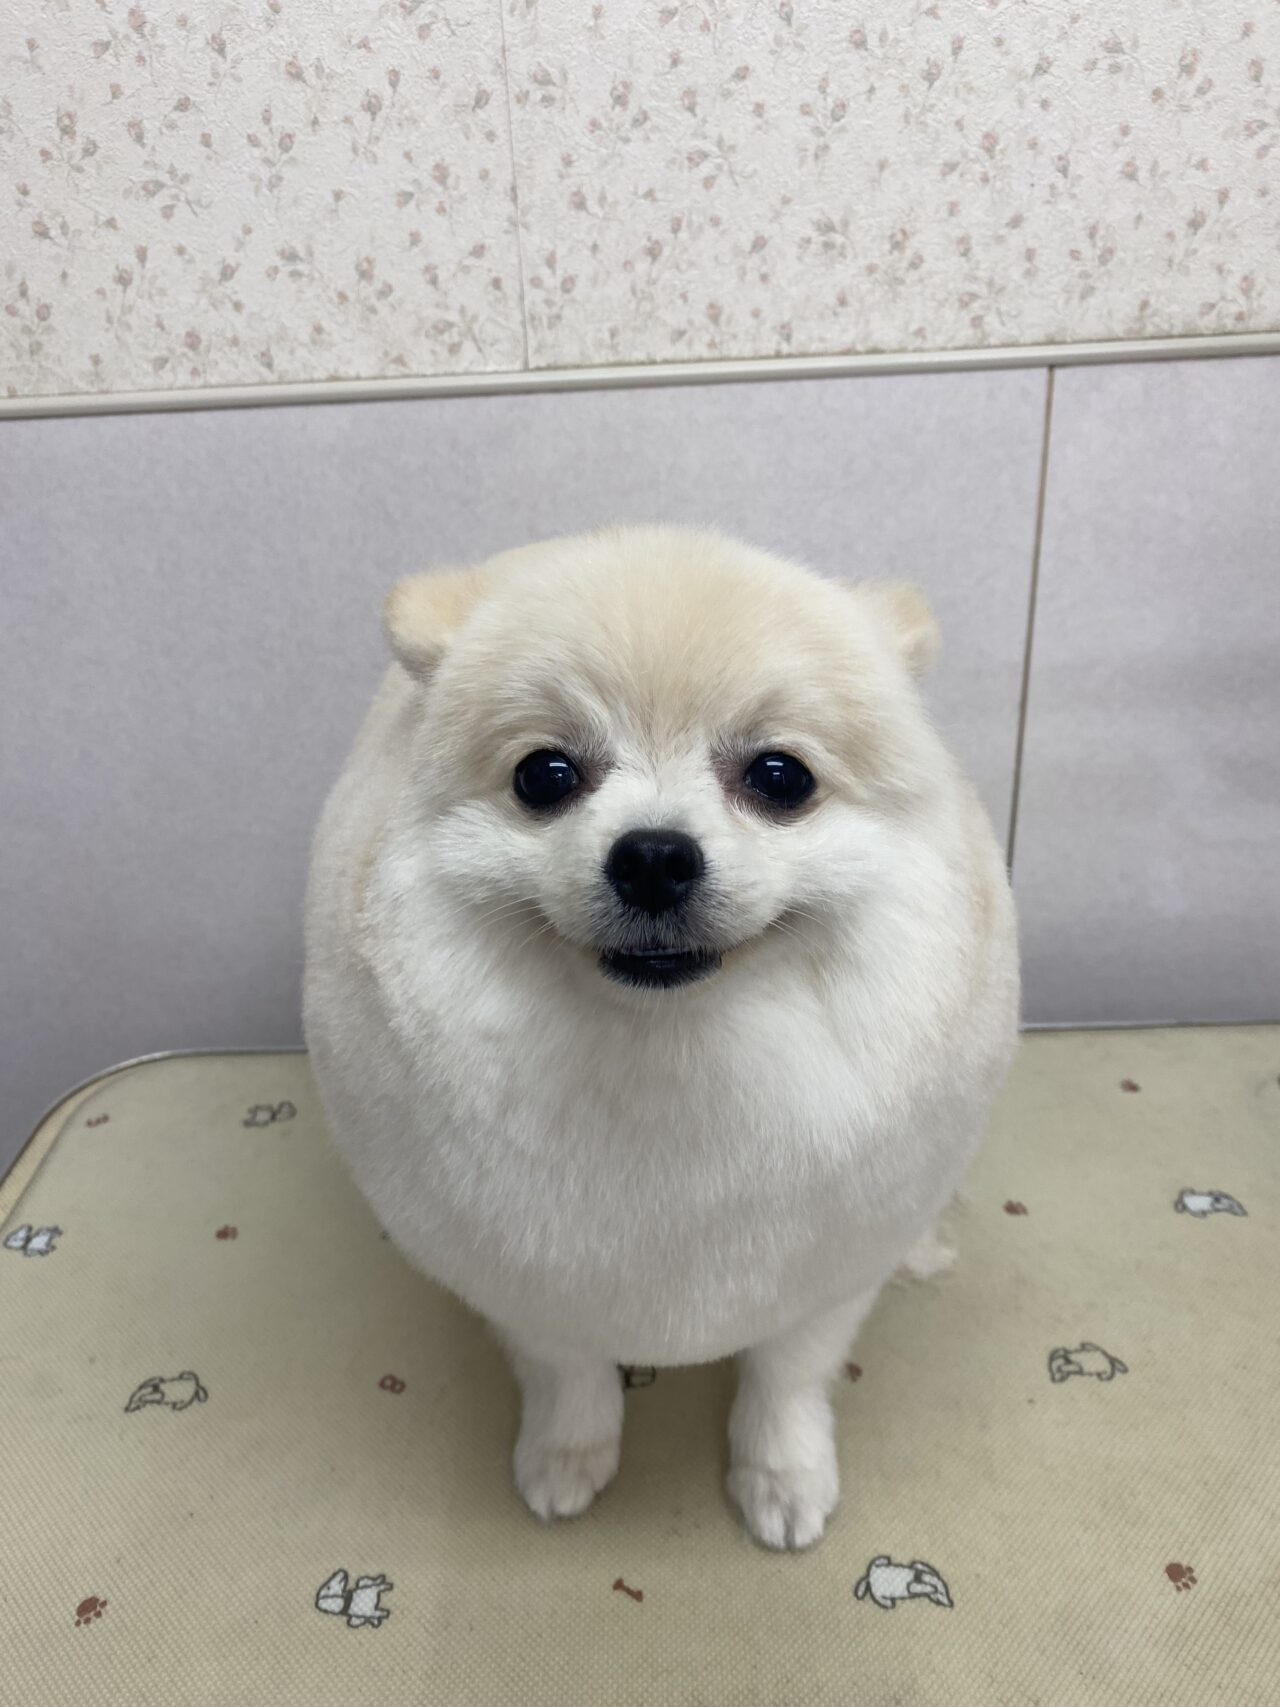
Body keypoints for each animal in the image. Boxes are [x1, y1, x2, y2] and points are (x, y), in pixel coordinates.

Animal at [303, 527, 1019, 1549]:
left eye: (780, 777)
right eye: (544, 774)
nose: (652, 854)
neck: (668, 1052)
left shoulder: (827, 1270)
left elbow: (787, 1375)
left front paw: (781, 1472)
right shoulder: (525, 1278)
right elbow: (568, 1373)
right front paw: (567, 1453)